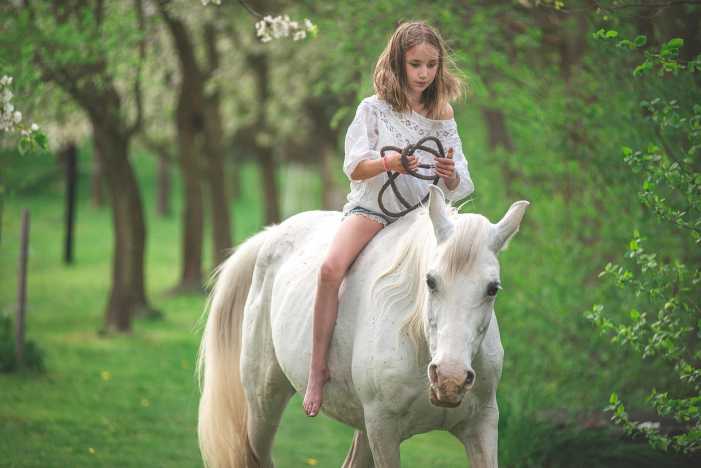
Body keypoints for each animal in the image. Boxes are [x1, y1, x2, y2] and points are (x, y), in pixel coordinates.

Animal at [197, 185, 529, 468]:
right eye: (431, 281)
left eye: (492, 288)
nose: (450, 378)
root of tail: (273, 233)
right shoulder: (384, 431)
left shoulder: (482, 426)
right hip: (263, 403)